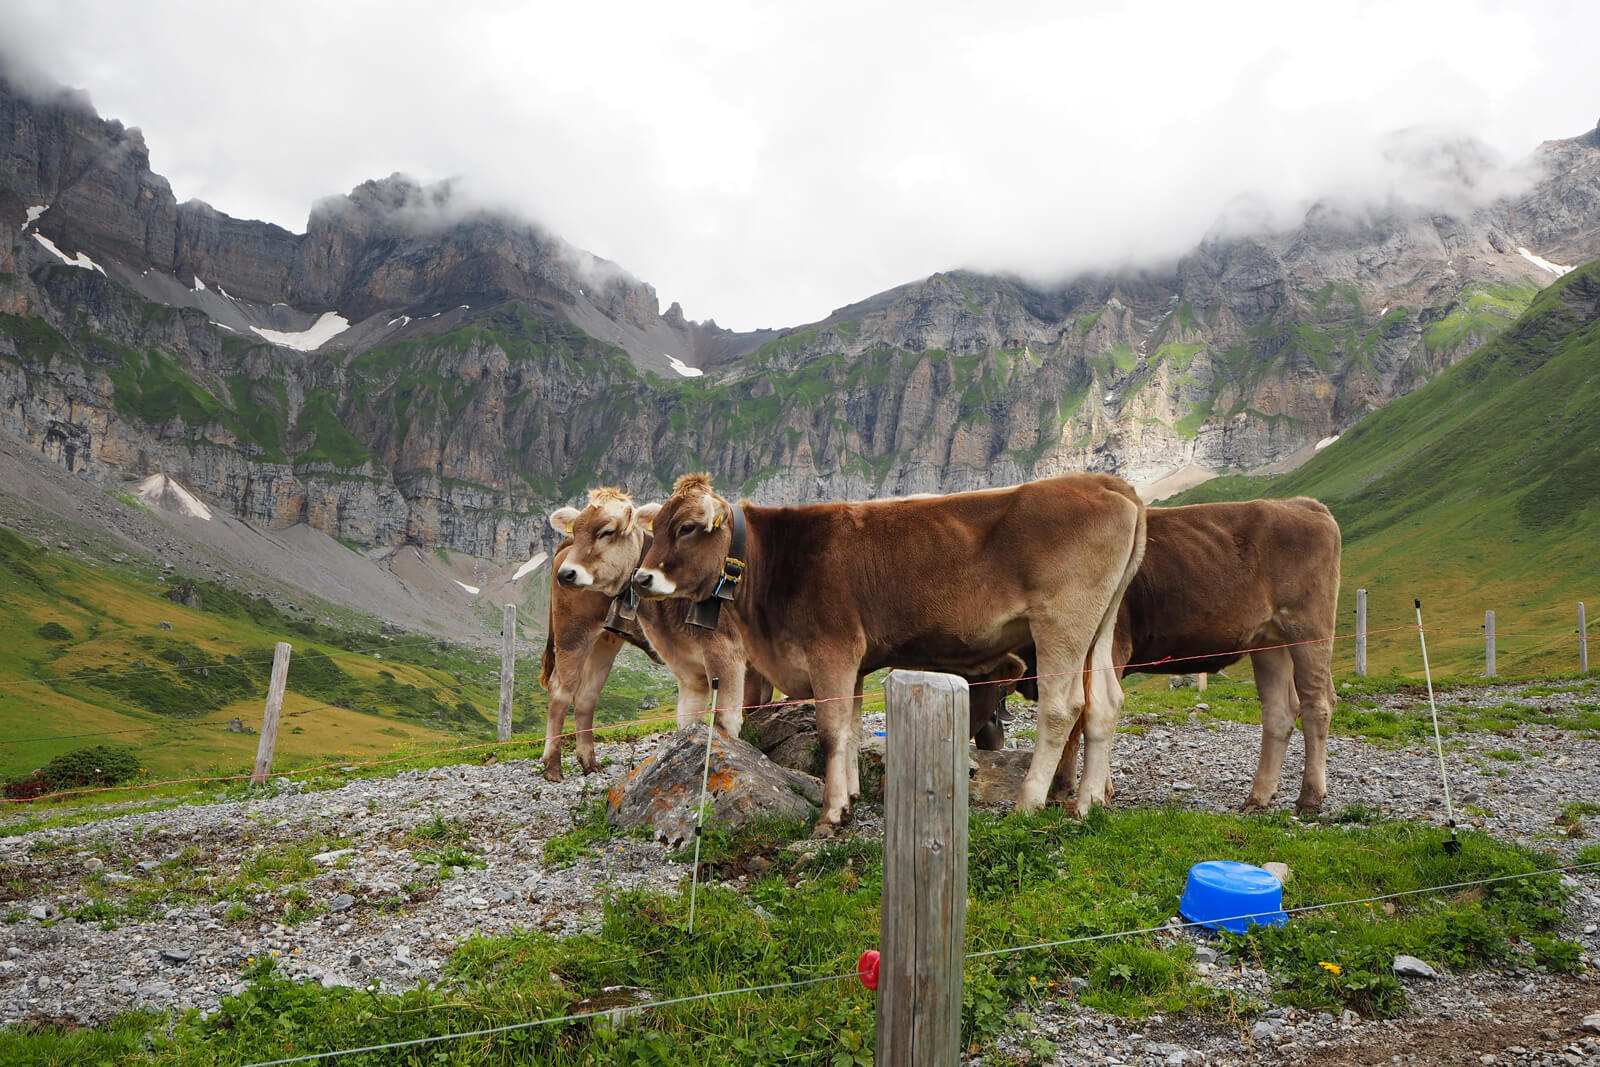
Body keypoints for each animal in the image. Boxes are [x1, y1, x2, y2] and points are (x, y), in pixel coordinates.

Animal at [630, 473, 1145, 831]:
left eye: (688, 528)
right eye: (656, 527)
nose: (641, 579)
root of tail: (1101, 481)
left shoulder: (832, 648)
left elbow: (831, 733)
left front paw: (831, 814)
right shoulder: (854, 663)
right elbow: (853, 729)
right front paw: (852, 798)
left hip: (1062, 622)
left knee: (1062, 708)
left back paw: (1029, 802)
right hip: (1099, 626)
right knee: (1104, 704)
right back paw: (1087, 803)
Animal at [979, 495, 1344, 812]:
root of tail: (1299, 504)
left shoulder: (1109, 648)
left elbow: (1087, 715)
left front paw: (1089, 791)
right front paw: (1069, 788)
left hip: (1308, 627)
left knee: (1317, 703)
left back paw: (1309, 798)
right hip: (1269, 642)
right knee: (1280, 710)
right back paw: (1258, 797)